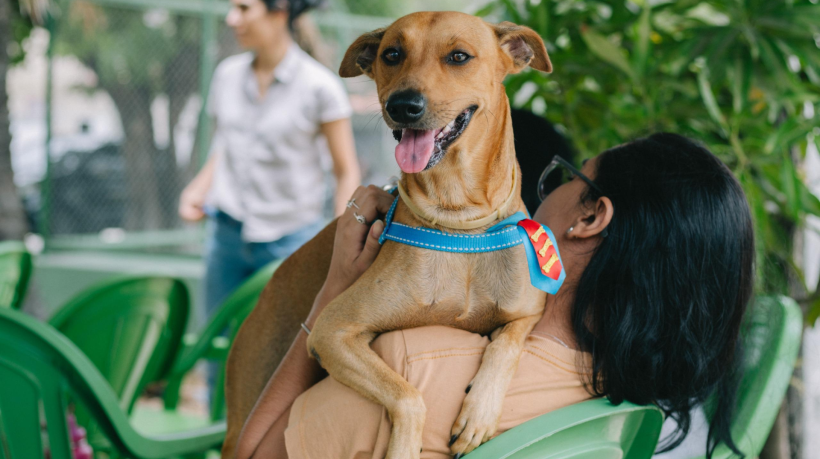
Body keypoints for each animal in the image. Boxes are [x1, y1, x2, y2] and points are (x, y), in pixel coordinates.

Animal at [226, 11, 552, 459]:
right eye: (392, 54)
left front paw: (479, 413)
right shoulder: (333, 331)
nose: (403, 106)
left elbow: (507, 345)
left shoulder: (528, 314)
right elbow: (408, 396)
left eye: (459, 56)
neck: (458, 223)